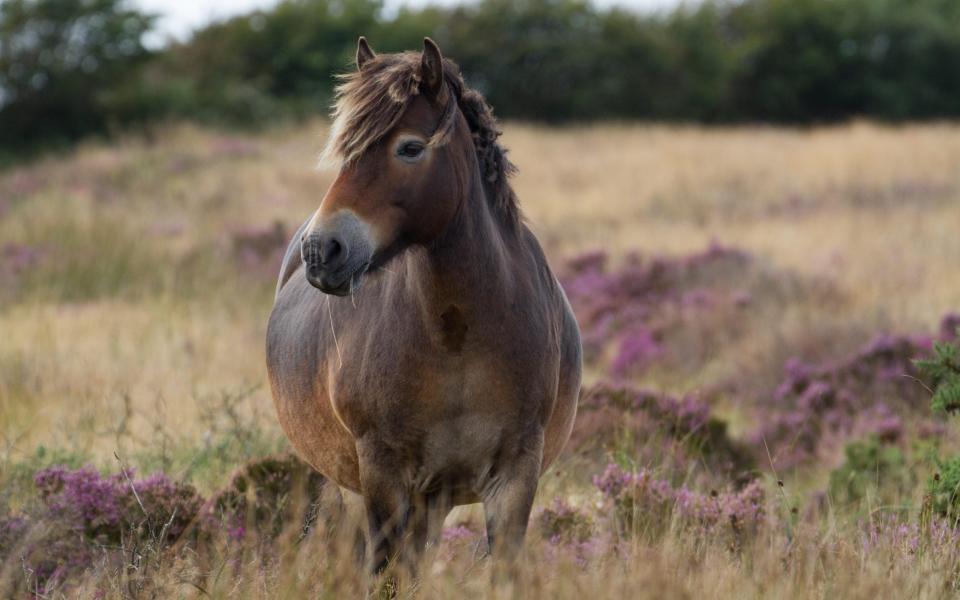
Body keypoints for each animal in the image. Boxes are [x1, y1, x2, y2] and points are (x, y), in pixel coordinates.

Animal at [262, 37, 580, 576]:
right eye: (346, 148)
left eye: (409, 147)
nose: (322, 251)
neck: (458, 337)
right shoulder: (383, 476)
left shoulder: (515, 474)